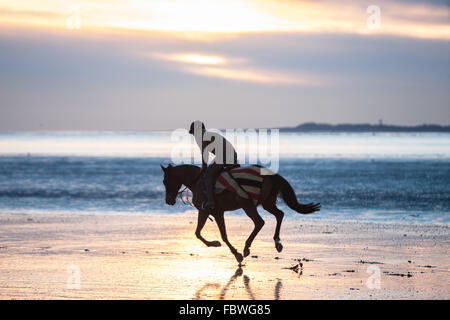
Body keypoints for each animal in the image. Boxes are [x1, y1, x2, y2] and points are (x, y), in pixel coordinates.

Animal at [161, 164, 320, 264]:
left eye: (165, 180)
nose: (168, 200)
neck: (197, 181)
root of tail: (270, 175)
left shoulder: (207, 211)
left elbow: (205, 234)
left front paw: (232, 252)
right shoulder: (215, 212)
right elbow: (209, 233)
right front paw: (223, 247)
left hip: (247, 205)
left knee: (260, 222)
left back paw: (246, 248)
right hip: (266, 203)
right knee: (279, 214)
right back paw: (277, 243)